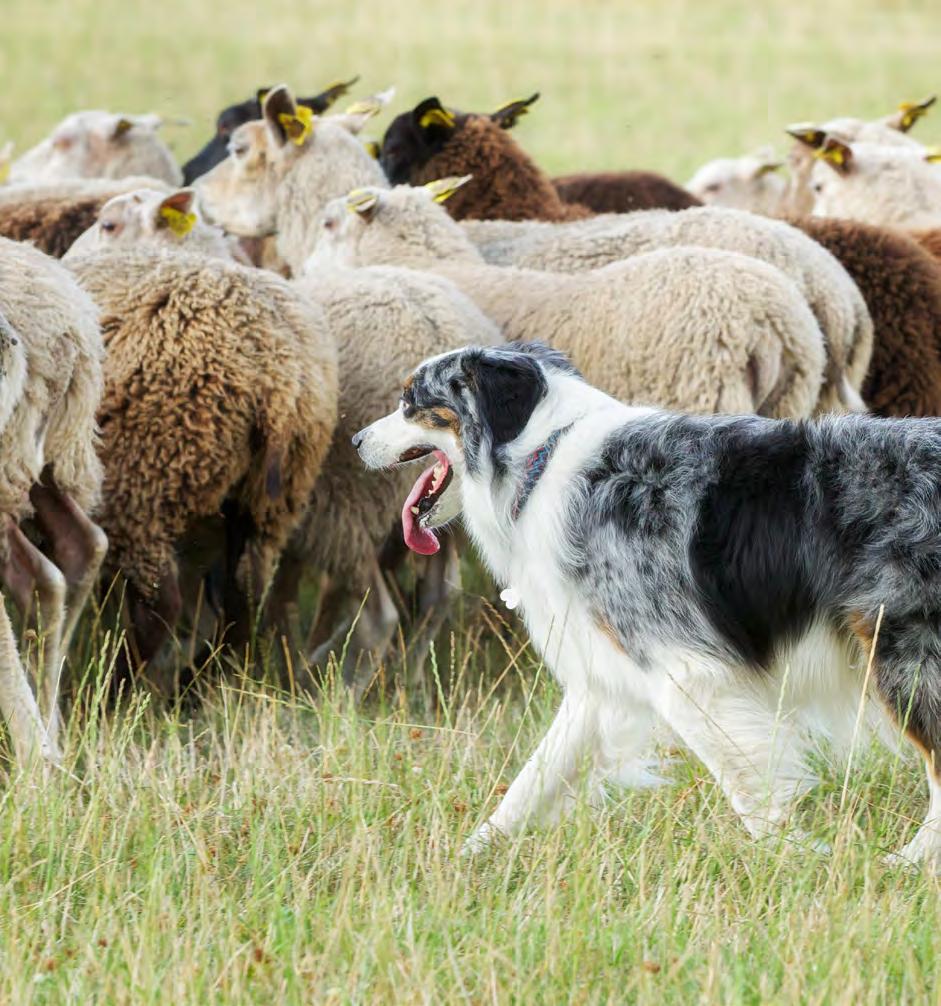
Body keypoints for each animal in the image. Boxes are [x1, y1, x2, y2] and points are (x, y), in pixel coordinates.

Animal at [354, 344, 941, 865]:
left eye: (411, 400)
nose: (356, 439)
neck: (541, 461)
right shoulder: (598, 676)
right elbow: (530, 784)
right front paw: (462, 859)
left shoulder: (685, 674)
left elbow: (750, 790)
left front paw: (792, 858)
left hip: (904, 654)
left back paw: (909, 863)